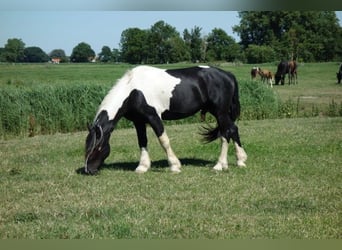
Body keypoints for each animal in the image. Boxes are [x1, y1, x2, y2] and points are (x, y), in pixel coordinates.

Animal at [84, 65, 247, 175]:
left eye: (97, 147)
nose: (88, 170)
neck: (133, 91)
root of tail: (228, 75)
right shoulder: (139, 121)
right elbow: (142, 142)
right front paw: (142, 167)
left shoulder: (154, 117)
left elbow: (164, 140)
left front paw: (174, 166)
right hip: (219, 113)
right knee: (230, 131)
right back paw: (235, 161)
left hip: (220, 112)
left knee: (228, 132)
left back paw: (223, 164)